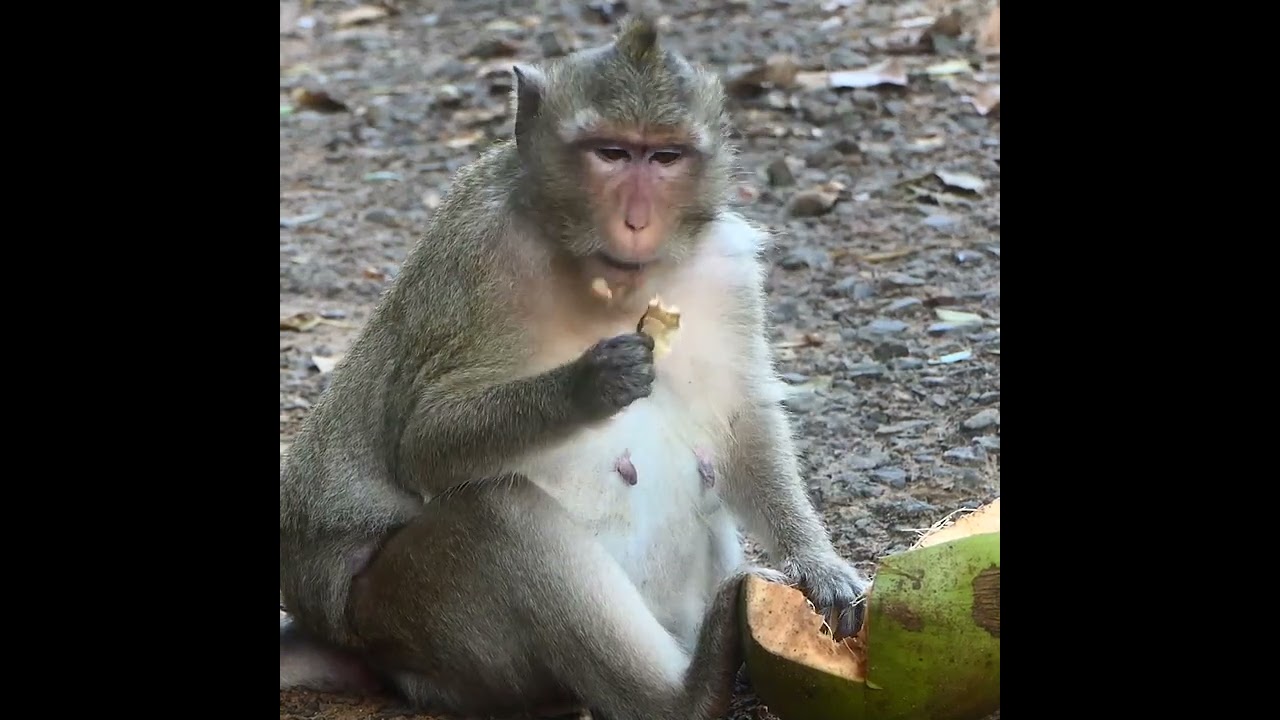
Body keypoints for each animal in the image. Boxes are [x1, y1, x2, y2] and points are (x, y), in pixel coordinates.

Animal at [279, 15, 869, 720]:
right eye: (610, 153)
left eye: (664, 157)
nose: (636, 221)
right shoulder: (479, 257)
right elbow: (421, 444)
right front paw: (588, 386)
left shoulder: (725, 267)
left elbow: (741, 417)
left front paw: (819, 565)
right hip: (402, 618)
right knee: (498, 513)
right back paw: (686, 694)